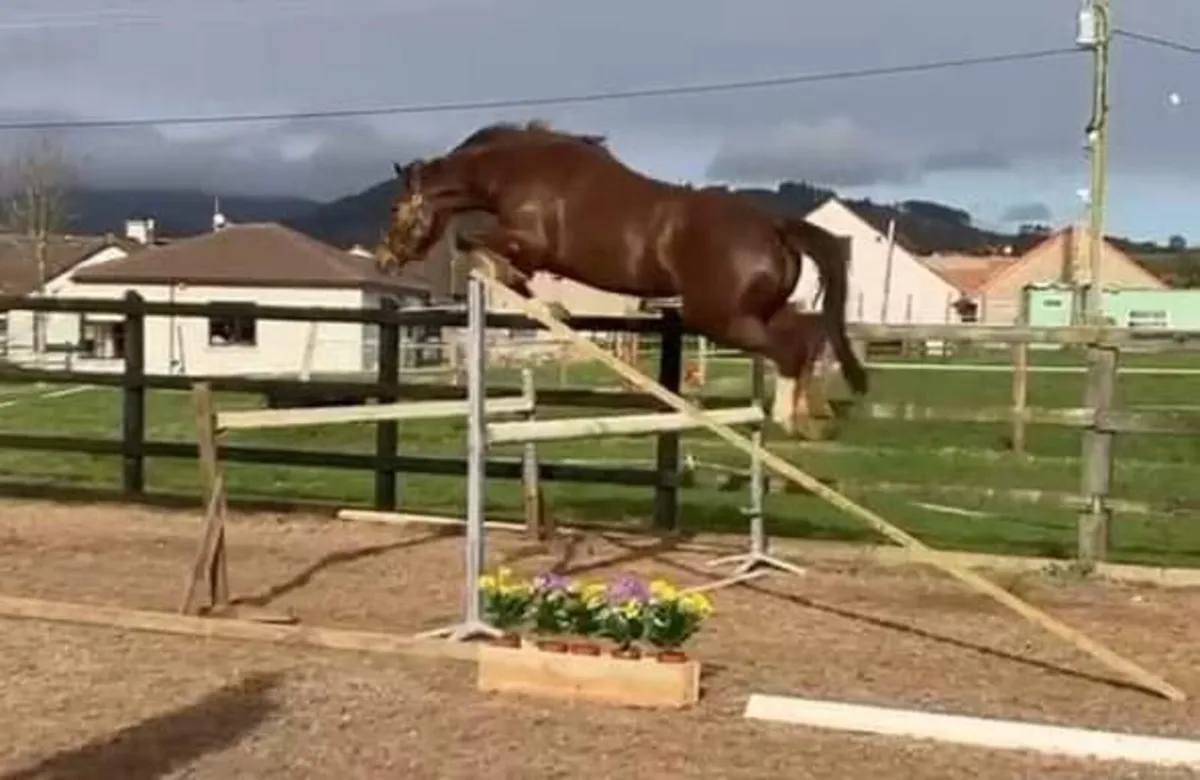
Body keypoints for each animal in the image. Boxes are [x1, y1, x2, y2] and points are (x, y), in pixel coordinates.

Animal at [376, 120, 868, 433]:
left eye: (396, 209)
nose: (384, 259)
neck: (516, 170)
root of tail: (775, 226)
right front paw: (542, 300)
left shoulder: (530, 241)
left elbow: (476, 245)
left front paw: (536, 298)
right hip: (758, 311)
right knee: (808, 333)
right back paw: (814, 414)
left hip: (721, 318)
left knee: (790, 350)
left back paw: (787, 418)